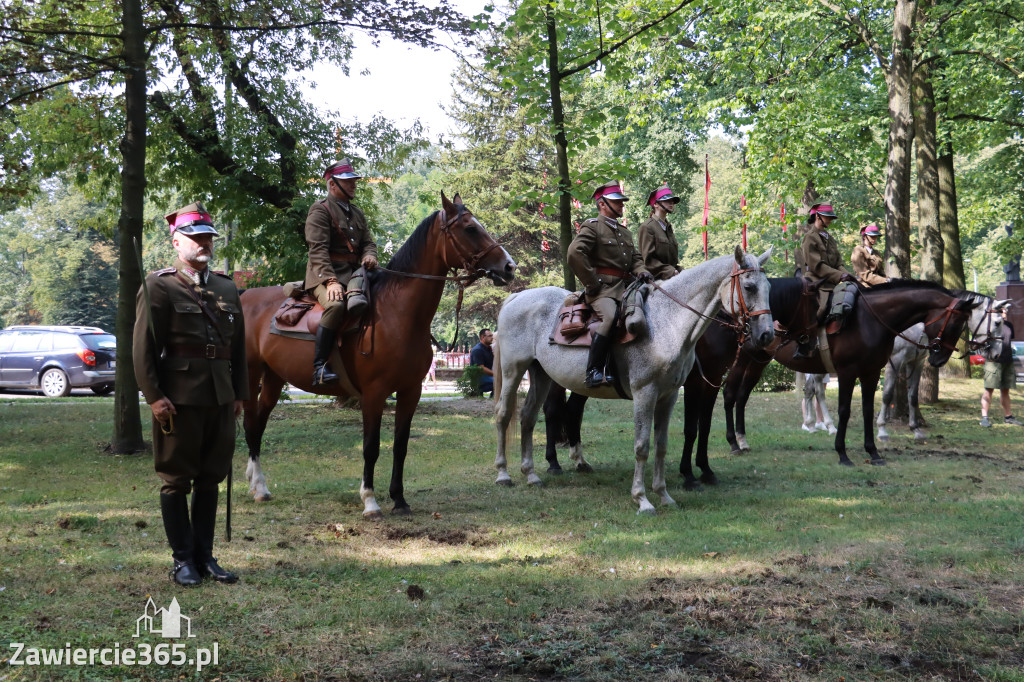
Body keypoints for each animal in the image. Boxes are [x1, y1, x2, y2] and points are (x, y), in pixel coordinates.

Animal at [237, 191, 512, 516]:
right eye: (470, 228)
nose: (509, 266)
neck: (398, 314)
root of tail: (245, 296)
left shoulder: (410, 391)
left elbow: (400, 445)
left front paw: (399, 499)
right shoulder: (374, 393)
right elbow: (371, 447)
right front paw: (370, 500)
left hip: (274, 378)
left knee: (258, 425)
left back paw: (258, 484)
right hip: (251, 375)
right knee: (250, 424)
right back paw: (259, 487)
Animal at [491, 246, 770, 512]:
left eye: (768, 287)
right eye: (749, 286)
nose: (766, 335)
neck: (668, 321)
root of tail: (518, 296)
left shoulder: (669, 396)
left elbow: (661, 445)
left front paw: (664, 495)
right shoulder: (645, 393)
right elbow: (642, 446)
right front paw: (642, 499)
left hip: (540, 374)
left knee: (528, 417)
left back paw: (531, 474)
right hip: (514, 370)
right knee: (505, 415)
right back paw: (504, 474)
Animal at [872, 292, 1007, 440]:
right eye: (998, 322)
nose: (997, 354)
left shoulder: (916, 361)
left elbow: (912, 396)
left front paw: (915, 429)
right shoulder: (896, 359)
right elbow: (887, 393)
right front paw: (882, 429)